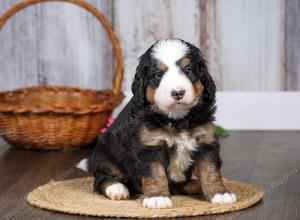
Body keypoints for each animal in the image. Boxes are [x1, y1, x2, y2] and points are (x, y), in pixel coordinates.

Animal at [77, 38, 237, 209]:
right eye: (158, 74)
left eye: (188, 70)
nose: (178, 92)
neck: (177, 119)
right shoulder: (150, 146)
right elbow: (155, 173)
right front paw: (158, 197)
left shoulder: (206, 141)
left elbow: (210, 170)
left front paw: (219, 193)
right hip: (106, 157)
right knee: (102, 179)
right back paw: (117, 189)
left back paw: (194, 184)